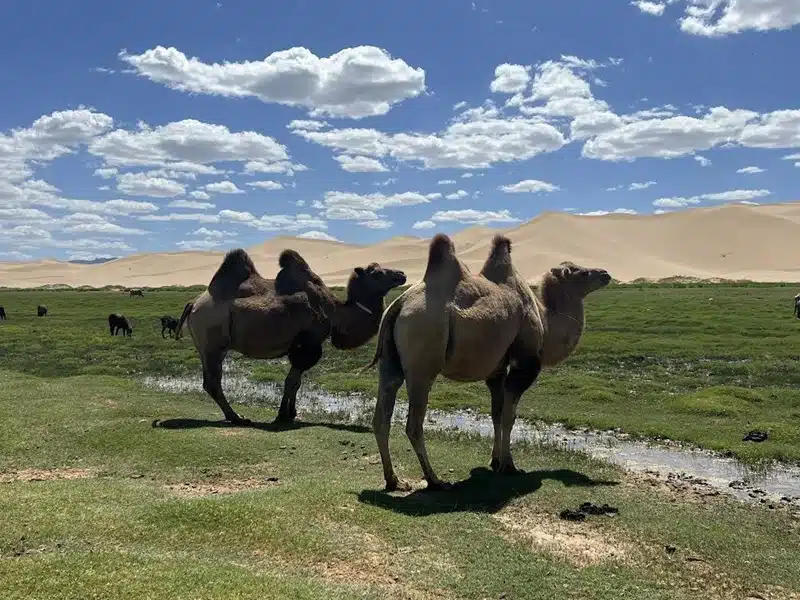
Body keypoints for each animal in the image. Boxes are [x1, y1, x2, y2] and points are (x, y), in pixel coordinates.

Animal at [178, 246, 410, 424]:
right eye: (377, 273)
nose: (402, 274)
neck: (336, 312)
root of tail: (193, 303)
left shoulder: (302, 347)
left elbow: (296, 382)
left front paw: (291, 413)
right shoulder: (307, 345)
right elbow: (291, 380)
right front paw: (283, 415)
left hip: (206, 345)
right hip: (213, 342)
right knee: (213, 382)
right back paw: (237, 417)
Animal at [366, 234, 608, 492]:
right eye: (580, 272)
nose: (605, 273)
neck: (546, 321)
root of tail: (398, 304)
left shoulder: (497, 369)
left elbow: (496, 414)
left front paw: (495, 460)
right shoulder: (525, 363)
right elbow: (509, 416)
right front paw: (509, 465)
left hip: (390, 362)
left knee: (382, 417)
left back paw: (394, 480)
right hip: (423, 360)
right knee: (414, 424)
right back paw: (435, 480)